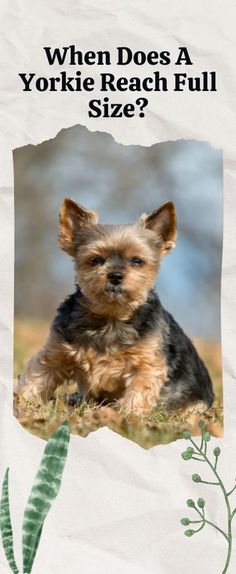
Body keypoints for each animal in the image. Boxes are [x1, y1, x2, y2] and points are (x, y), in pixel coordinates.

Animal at [17, 200, 214, 416]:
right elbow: (38, 377)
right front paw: (23, 403)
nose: (115, 276)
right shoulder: (57, 350)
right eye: (95, 260)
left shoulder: (148, 364)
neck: (110, 316)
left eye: (137, 261)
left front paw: (127, 416)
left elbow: (138, 394)